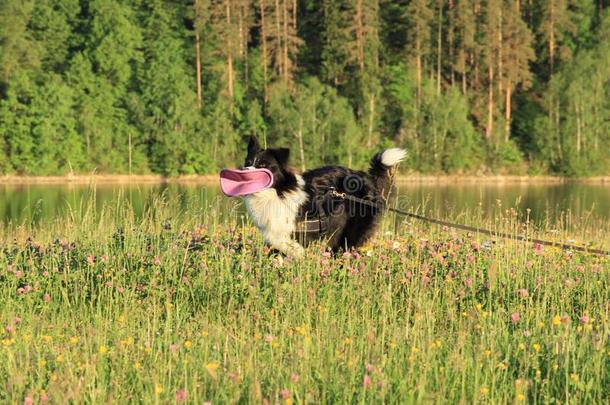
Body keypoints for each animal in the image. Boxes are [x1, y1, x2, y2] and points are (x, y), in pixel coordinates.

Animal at [241, 136, 404, 256]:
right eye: (248, 162)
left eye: (263, 165)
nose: (244, 171)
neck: (278, 194)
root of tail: (369, 178)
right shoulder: (275, 237)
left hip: (351, 230)